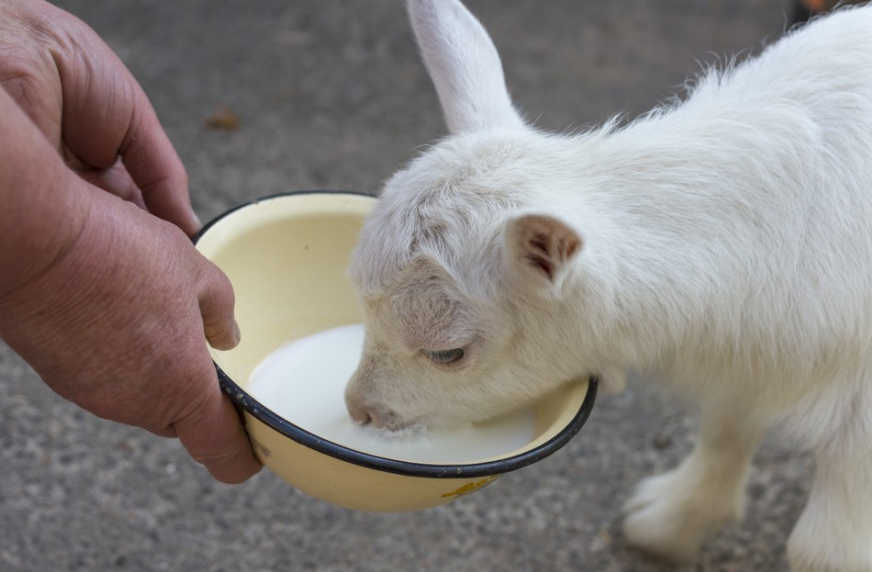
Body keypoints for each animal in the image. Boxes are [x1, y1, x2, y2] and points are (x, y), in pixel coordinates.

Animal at [344, 2, 872, 568]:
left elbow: (820, 548)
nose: (359, 411)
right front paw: (673, 522)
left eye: (447, 353)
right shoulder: (747, 363)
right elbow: (725, 432)